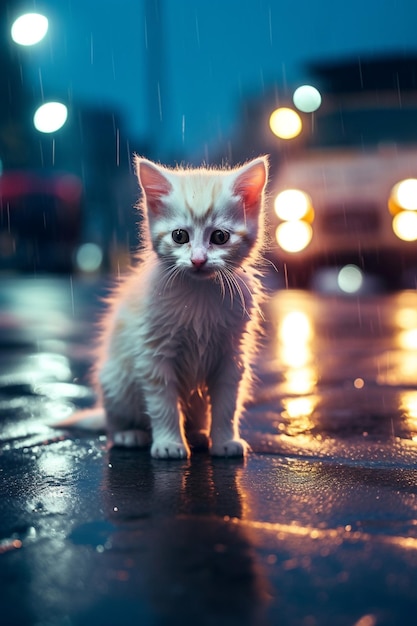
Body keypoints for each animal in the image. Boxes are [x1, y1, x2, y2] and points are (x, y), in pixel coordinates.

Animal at [63, 156, 268, 458]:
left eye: (220, 237)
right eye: (179, 236)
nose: (198, 260)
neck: (199, 291)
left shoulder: (231, 355)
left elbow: (226, 404)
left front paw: (224, 440)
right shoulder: (154, 353)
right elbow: (163, 404)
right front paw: (170, 443)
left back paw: (197, 435)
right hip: (116, 380)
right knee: (114, 421)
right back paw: (129, 434)